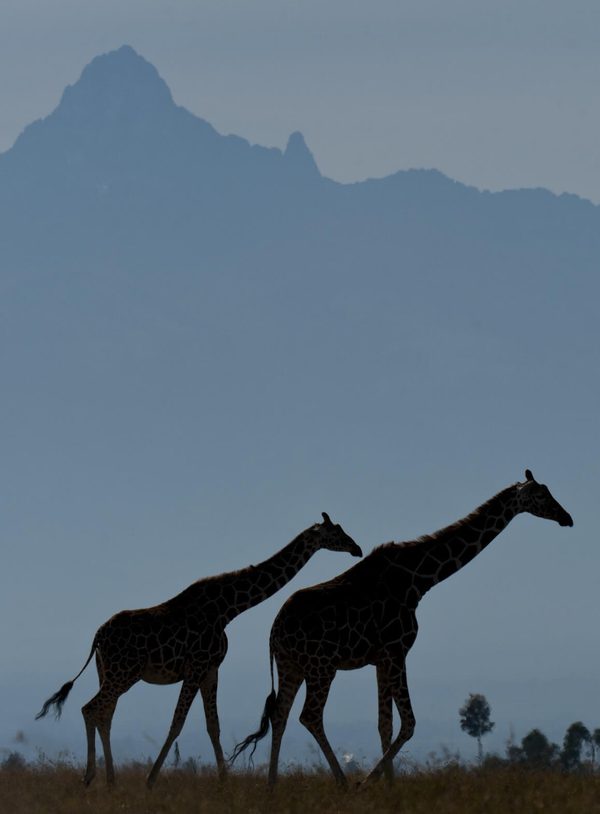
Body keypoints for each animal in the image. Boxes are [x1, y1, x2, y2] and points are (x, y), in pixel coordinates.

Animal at [36, 512, 362, 787]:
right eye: (336, 531)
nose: (356, 548)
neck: (228, 608)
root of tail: (98, 636)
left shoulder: (211, 669)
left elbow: (212, 725)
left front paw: (224, 780)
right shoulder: (195, 667)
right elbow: (177, 722)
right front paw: (151, 780)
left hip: (109, 673)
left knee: (105, 714)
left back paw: (111, 780)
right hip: (123, 674)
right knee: (90, 709)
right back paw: (91, 777)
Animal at [231, 470, 573, 786]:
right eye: (541, 495)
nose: (566, 517)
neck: (419, 580)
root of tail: (274, 631)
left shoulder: (382, 659)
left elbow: (385, 724)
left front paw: (390, 787)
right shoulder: (397, 651)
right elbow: (408, 723)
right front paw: (368, 783)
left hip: (291, 666)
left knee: (280, 714)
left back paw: (272, 785)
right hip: (321, 667)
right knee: (310, 715)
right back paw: (343, 784)